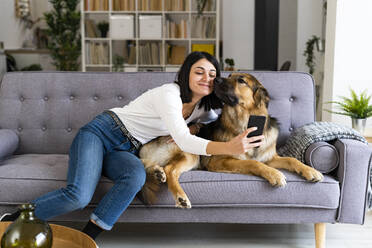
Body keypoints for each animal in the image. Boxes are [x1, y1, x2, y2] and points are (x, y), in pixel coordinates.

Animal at [138, 72, 324, 208]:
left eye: (241, 80)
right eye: (229, 75)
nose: (215, 79)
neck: (243, 123)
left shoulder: (270, 158)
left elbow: (292, 160)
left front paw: (310, 171)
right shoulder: (220, 161)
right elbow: (253, 163)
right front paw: (275, 174)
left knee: (159, 168)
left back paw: (157, 173)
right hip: (191, 155)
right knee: (170, 170)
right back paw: (180, 196)